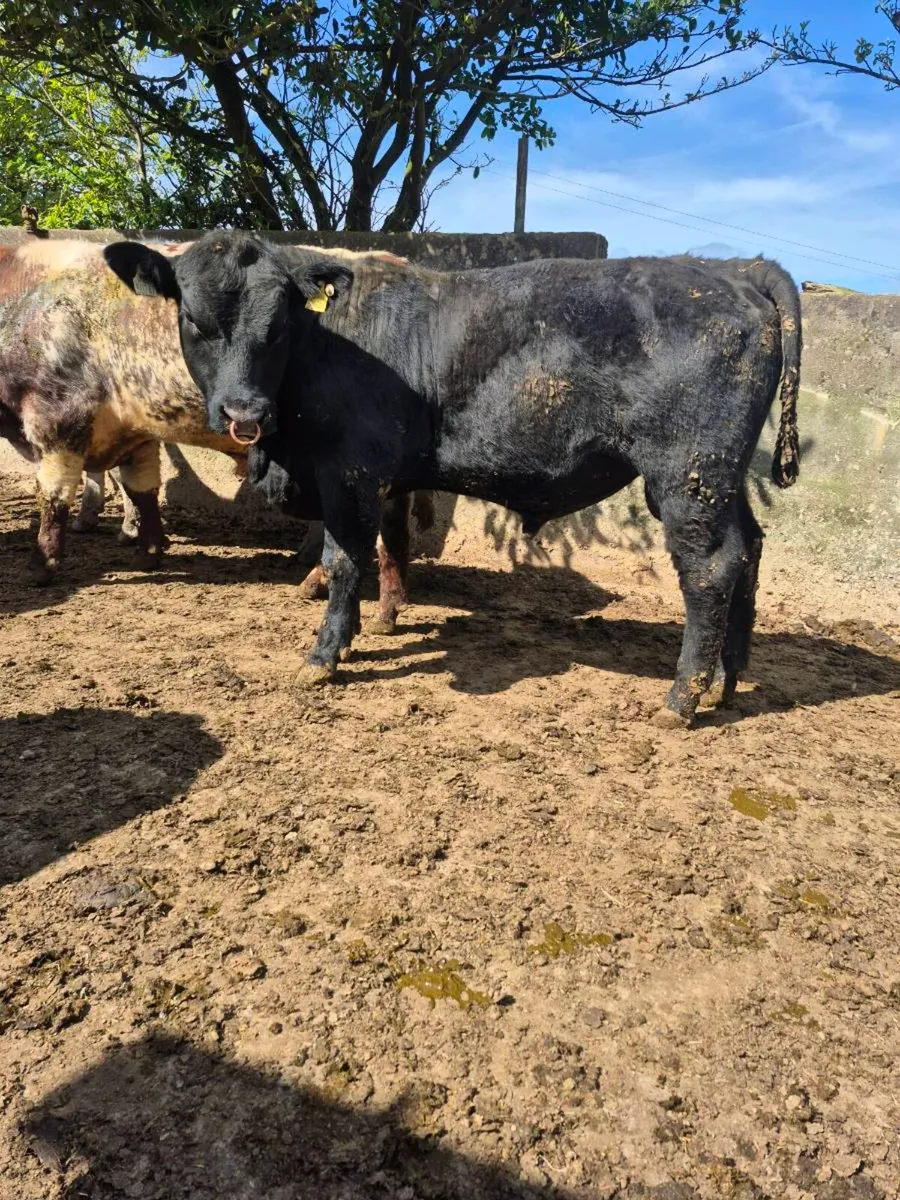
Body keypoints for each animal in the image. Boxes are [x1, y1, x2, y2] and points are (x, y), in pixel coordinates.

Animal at [0, 236, 433, 630]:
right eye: (191, 319)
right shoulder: (136, 428)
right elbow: (142, 489)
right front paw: (149, 551)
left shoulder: (56, 417)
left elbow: (54, 496)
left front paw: (41, 564)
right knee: (393, 529)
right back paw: (378, 602)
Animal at [104, 232, 801, 727]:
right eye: (194, 321)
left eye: (276, 326)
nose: (244, 413)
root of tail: (734, 269)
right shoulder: (383, 477)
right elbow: (389, 543)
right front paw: (375, 626)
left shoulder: (348, 472)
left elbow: (343, 559)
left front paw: (326, 654)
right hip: (719, 481)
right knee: (749, 549)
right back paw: (727, 681)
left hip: (687, 477)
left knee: (710, 570)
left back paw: (682, 698)